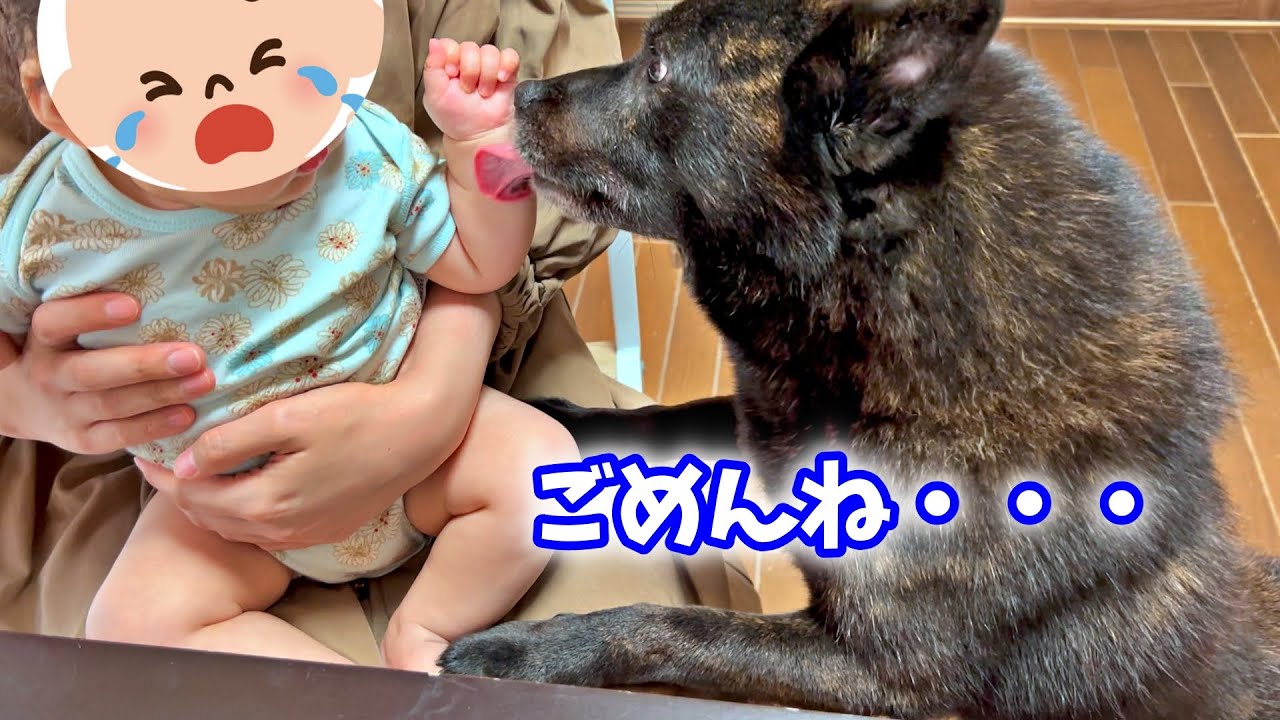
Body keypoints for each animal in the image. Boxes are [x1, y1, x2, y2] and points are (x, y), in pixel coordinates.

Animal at [438, 0, 1280, 717]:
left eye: (659, 67)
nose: (518, 89)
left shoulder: (875, 671)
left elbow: (668, 629)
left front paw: (527, 651)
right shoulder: (765, 417)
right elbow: (665, 416)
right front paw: (552, 414)